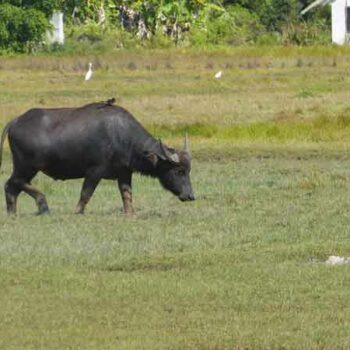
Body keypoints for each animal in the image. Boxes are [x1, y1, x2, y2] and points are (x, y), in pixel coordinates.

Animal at [0, 100, 194, 215]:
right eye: (178, 171)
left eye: (188, 170)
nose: (191, 196)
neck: (122, 136)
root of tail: (15, 122)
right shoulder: (94, 172)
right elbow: (85, 194)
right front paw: (77, 212)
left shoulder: (124, 174)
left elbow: (127, 195)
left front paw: (129, 213)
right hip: (26, 166)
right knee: (13, 183)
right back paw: (43, 205)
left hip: (26, 168)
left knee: (13, 187)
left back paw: (13, 214)